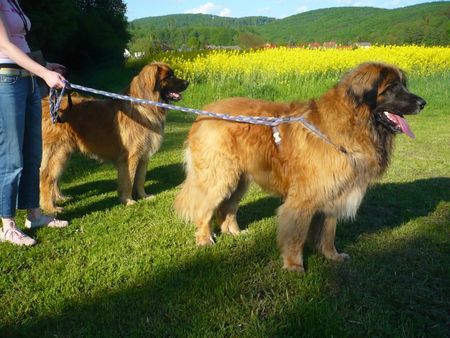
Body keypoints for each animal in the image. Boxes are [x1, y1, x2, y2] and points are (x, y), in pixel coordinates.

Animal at [41, 62, 189, 213]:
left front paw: (143, 196)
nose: (187, 82)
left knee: (54, 178)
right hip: (58, 152)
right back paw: (50, 207)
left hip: (64, 154)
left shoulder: (143, 156)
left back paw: (59, 197)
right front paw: (128, 200)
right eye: (168, 77)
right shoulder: (131, 157)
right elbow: (129, 180)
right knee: (46, 177)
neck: (145, 106)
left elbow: (140, 179)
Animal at [175, 62, 426, 272]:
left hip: (240, 179)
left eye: (404, 85)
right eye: (392, 88)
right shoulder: (303, 199)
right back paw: (205, 239)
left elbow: (328, 232)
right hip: (220, 176)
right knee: (204, 208)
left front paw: (332, 256)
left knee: (227, 208)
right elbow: (296, 235)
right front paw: (294, 266)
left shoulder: (333, 193)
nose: (423, 103)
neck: (350, 125)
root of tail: (203, 113)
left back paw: (235, 232)